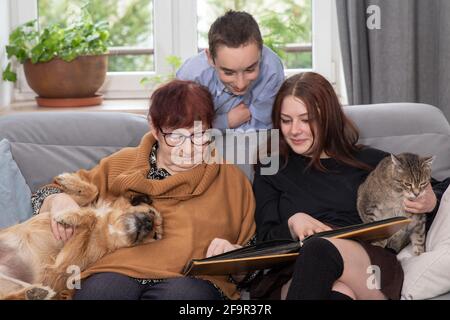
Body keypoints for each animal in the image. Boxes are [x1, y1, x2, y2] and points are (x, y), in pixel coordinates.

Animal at [0, 172, 162, 300]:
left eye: (155, 236)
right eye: (151, 212)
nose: (149, 224)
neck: (112, 226)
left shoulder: (61, 265)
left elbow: (90, 217)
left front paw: (69, 217)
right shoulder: (76, 203)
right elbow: (92, 191)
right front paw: (68, 180)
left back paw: (34, 293)